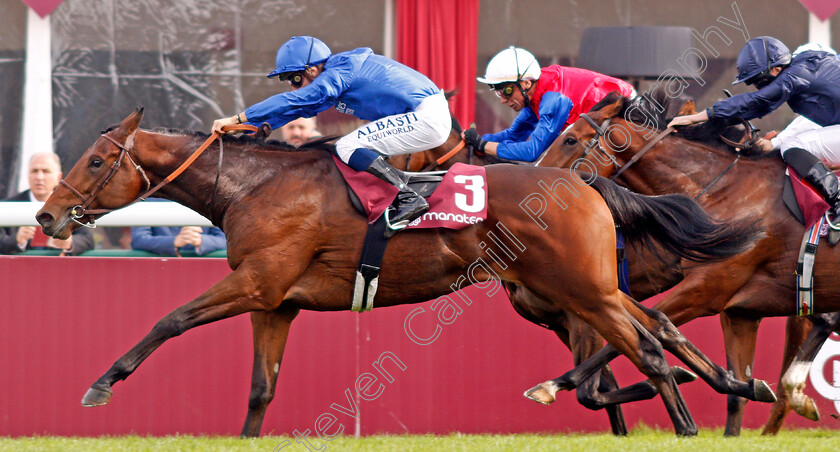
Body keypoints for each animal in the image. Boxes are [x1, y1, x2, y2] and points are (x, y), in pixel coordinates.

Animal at [39, 107, 776, 436]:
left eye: (97, 161)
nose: (46, 217)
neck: (254, 186)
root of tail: (585, 183)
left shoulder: (256, 283)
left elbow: (170, 319)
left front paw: (101, 385)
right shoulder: (277, 302)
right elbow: (259, 389)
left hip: (580, 290)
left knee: (646, 345)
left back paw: (686, 417)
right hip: (573, 292)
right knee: (654, 332)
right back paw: (733, 388)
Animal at [532, 91, 840, 434]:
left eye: (570, 139)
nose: (535, 176)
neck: (724, 191)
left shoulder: (704, 292)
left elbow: (651, 329)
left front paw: (551, 385)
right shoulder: (740, 313)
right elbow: (735, 395)